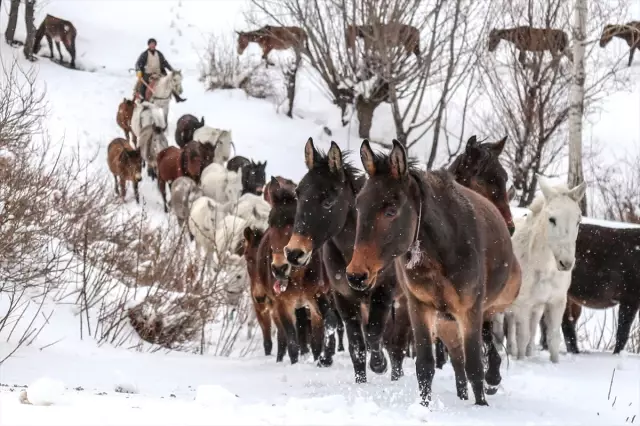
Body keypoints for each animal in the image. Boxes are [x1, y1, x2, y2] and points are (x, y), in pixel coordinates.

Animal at [251, 175, 338, 364]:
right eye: (270, 222)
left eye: (294, 222)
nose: (279, 268)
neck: (297, 275)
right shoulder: (282, 305)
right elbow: (292, 342)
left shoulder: (317, 297)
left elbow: (322, 333)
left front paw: (323, 357)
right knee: (284, 338)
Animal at [284, 141, 410, 382]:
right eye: (298, 193)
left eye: (328, 201)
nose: (294, 252)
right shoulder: (343, 297)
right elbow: (357, 346)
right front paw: (361, 381)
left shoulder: (384, 291)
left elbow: (373, 334)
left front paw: (379, 364)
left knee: (397, 343)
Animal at [348, 140, 524, 406]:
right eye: (359, 205)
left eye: (391, 210)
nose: (356, 274)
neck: (442, 252)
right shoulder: (419, 307)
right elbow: (425, 366)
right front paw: (425, 406)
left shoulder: (470, 310)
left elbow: (475, 366)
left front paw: (481, 404)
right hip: (444, 323)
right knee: (458, 360)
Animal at [492, 176, 588, 362]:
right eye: (552, 219)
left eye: (578, 221)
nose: (566, 263)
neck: (544, 267)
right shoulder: (523, 305)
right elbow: (522, 337)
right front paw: (521, 360)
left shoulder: (556, 302)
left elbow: (552, 338)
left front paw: (553, 362)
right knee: (500, 331)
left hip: (535, 307)